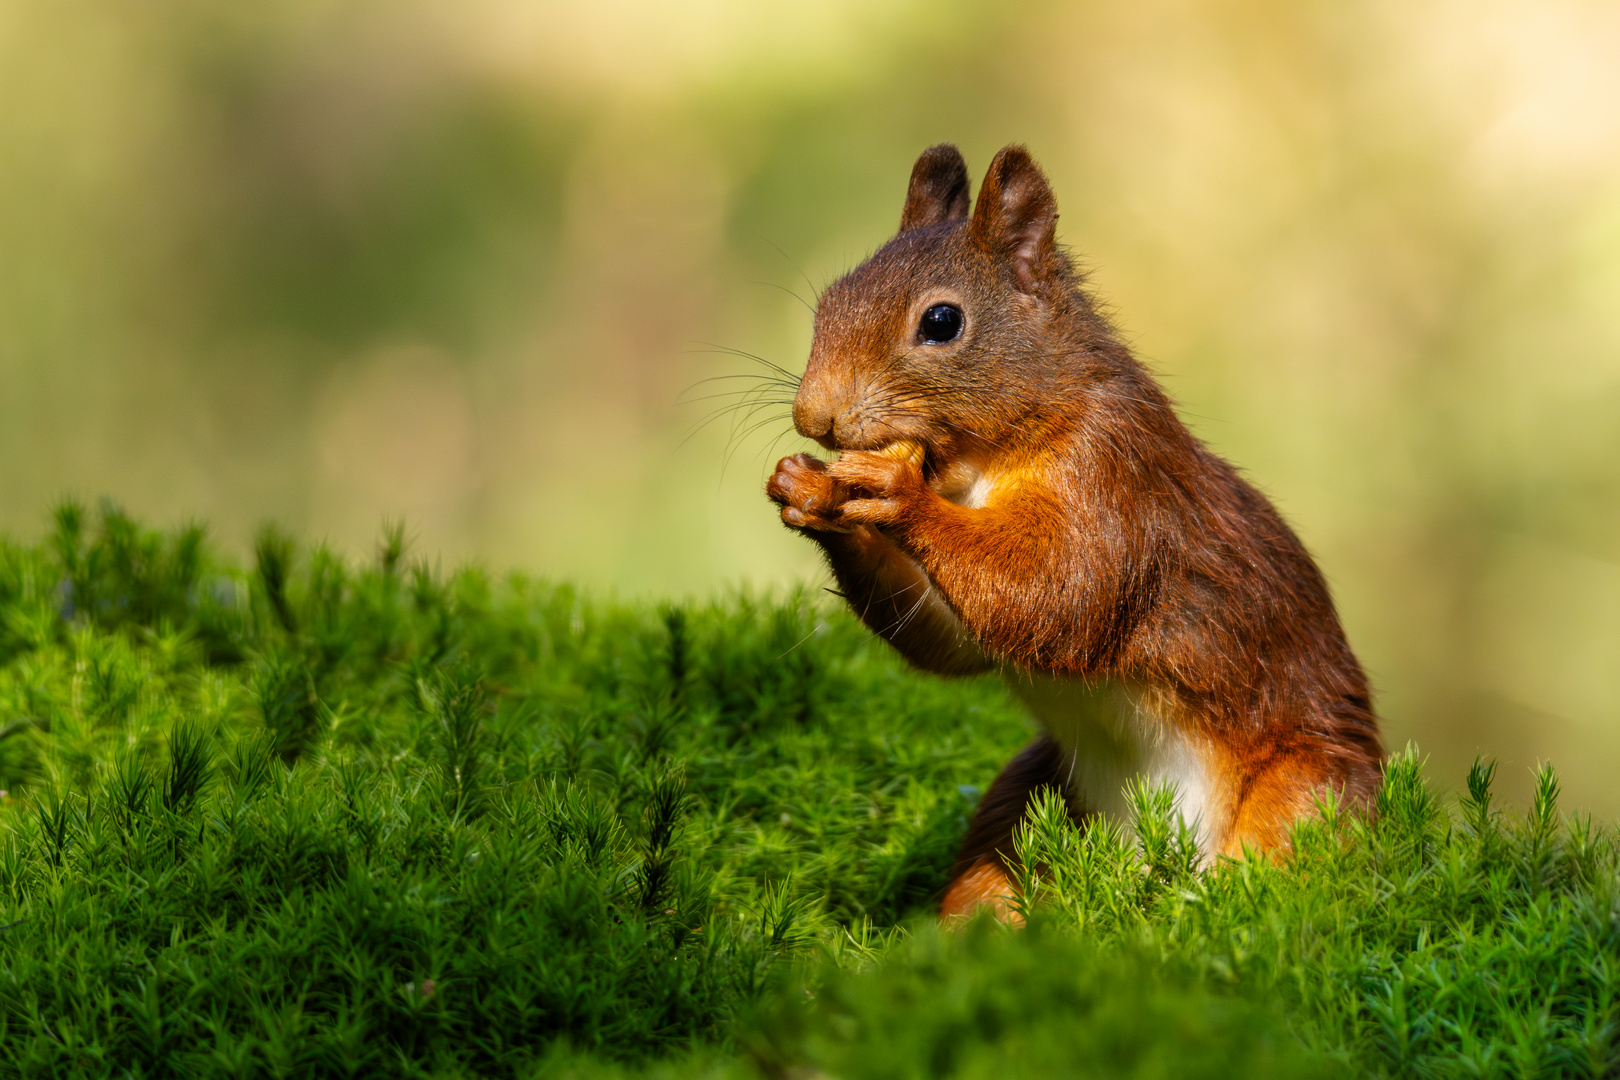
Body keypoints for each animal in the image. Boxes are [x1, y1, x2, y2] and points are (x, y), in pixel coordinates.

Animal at [767, 141, 1380, 919]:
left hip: (1309, 796)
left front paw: (895, 493)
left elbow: (1060, 594)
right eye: (829, 300)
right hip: (1027, 801)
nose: (812, 415)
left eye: (941, 322)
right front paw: (809, 494)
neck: (983, 463)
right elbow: (953, 641)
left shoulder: (1118, 480)